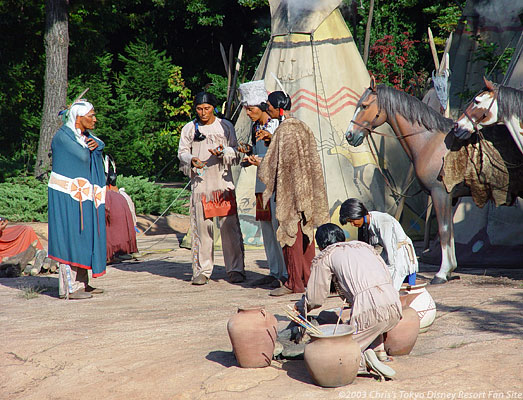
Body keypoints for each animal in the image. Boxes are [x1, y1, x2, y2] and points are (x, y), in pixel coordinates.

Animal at [348, 78, 458, 284]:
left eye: (364, 105)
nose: (349, 135)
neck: (430, 141)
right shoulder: (446, 196)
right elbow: (449, 231)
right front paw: (450, 269)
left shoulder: (440, 193)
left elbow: (444, 230)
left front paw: (442, 273)